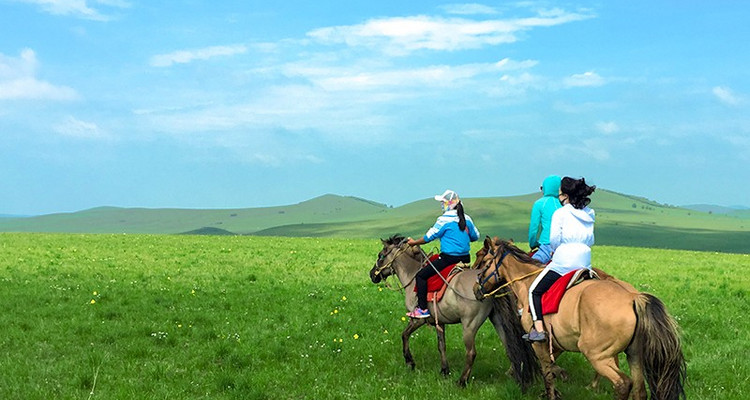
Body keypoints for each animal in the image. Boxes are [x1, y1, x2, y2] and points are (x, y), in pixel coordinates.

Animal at [370, 234, 540, 388]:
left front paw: (410, 362)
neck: (413, 275)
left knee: (471, 353)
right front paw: (444, 370)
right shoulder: (439, 322)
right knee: (510, 346)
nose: (372, 274)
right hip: (498, 320)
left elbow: (404, 335)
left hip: (469, 325)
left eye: (380, 256)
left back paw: (462, 381)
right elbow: (441, 345)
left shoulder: (419, 320)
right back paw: (513, 373)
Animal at [476, 238, 688, 400]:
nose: (476, 289)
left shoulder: (539, 342)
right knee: (639, 390)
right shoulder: (556, 342)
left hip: (597, 354)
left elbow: (547, 372)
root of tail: (633, 298)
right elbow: (551, 366)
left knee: (622, 383)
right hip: (634, 354)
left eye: (483, 261)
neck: (527, 282)